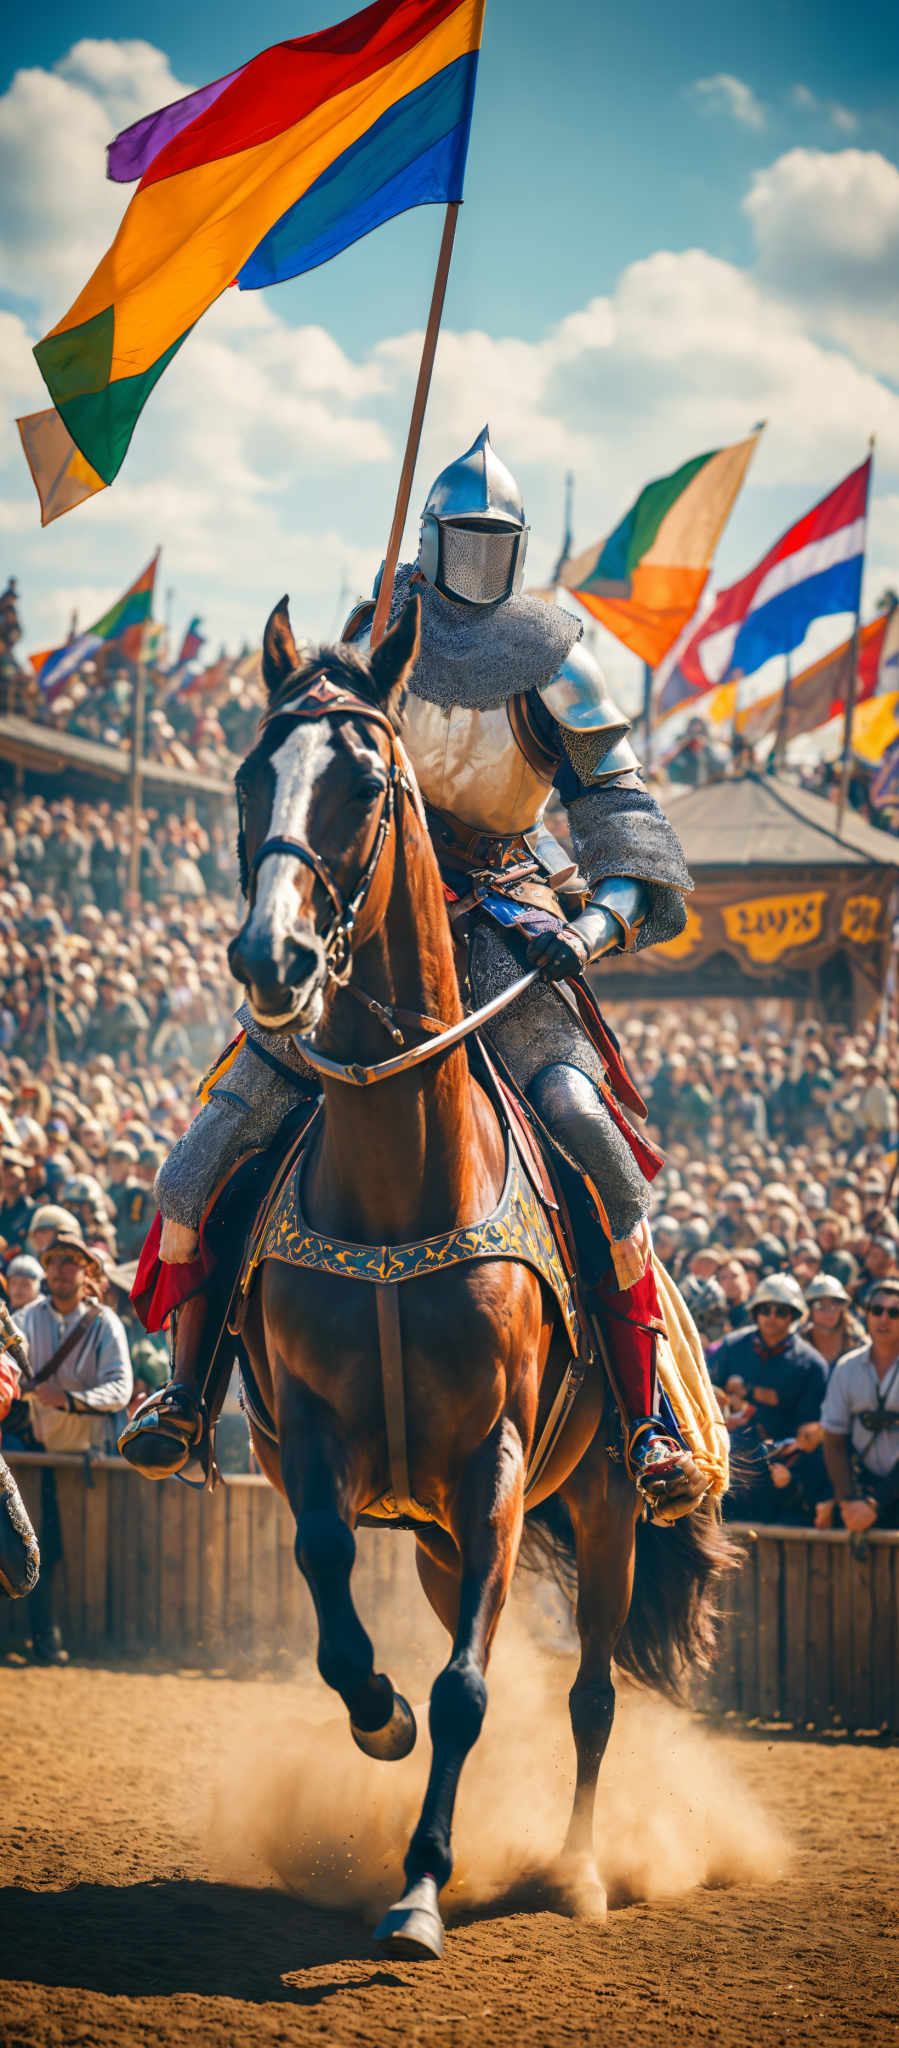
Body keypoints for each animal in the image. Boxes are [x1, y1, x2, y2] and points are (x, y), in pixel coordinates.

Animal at [227, 589, 733, 1949]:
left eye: (364, 782)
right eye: (249, 775)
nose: (271, 961)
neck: (401, 1175)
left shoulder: (496, 1460)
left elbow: (467, 1688)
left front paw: (416, 1892)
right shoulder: (321, 1442)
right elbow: (341, 1608)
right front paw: (377, 1719)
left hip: (599, 1503)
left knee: (591, 1694)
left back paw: (578, 1869)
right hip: (443, 1535)